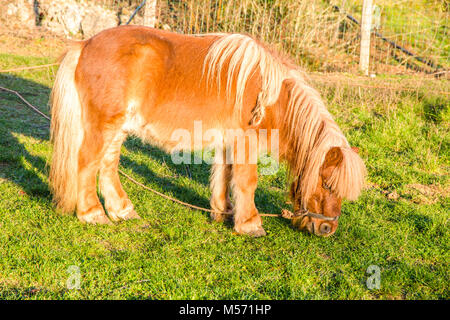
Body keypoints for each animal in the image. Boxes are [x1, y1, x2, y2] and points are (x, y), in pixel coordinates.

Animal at [49, 26, 366, 238]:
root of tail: (85, 45)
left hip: (118, 128)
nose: (327, 228)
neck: (270, 97)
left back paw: (122, 210)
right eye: (327, 186)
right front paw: (250, 224)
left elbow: (223, 176)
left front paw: (223, 212)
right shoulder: (245, 143)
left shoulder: (228, 142)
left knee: (108, 165)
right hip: (103, 126)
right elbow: (246, 181)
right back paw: (93, 214)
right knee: (87, 163)